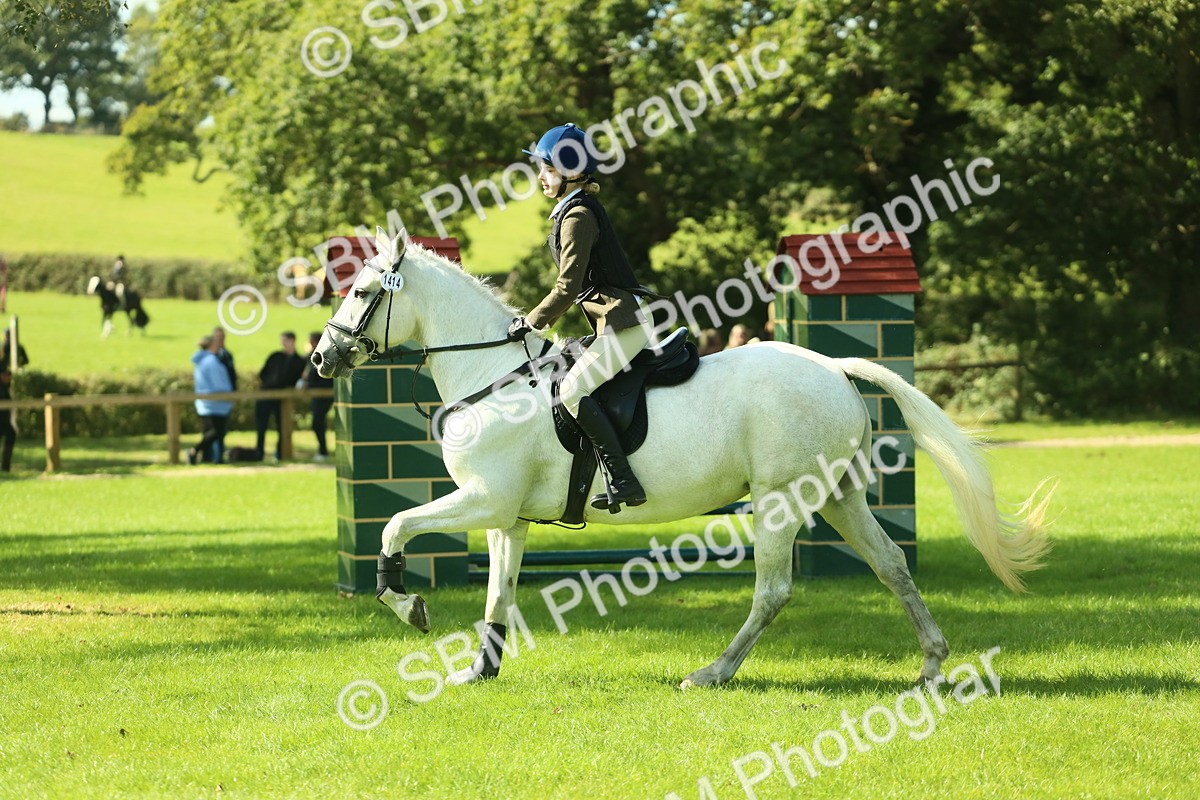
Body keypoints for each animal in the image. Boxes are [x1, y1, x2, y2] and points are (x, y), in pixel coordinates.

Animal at [312, 228, 1053, 690]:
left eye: (362, 292)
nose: (322, 359)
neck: (494, 378)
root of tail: (833, 366)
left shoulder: (484, 500)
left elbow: (394, 527)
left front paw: (409, 606)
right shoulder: (506, 516)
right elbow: (499, 590)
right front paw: (481, 669)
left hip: (781, 500)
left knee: (773, 590)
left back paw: (712, 673)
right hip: (838, 493)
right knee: (891, 565)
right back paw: (930, 664)